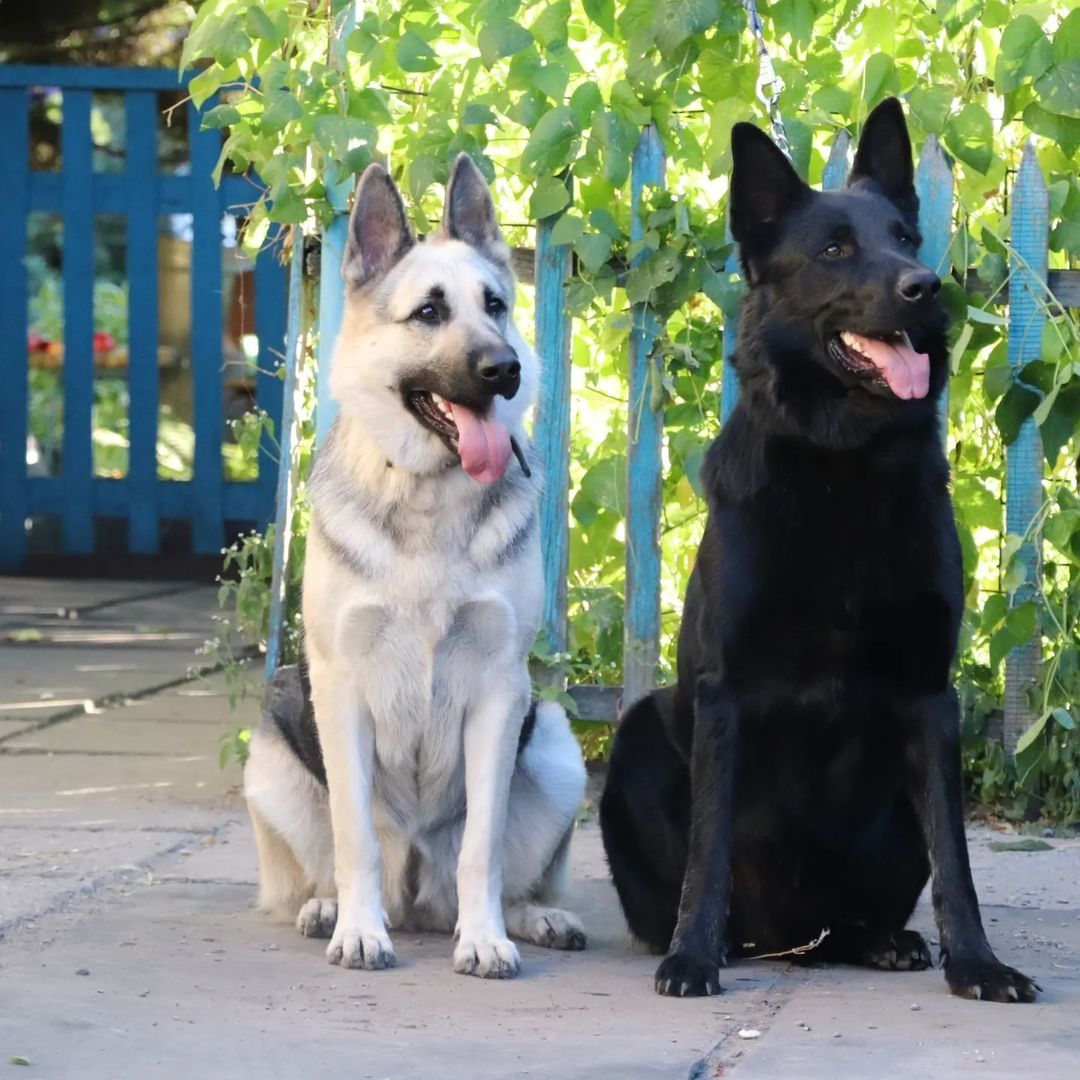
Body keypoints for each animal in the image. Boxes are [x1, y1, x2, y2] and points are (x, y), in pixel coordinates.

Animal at [604, 99, 1032, 1002]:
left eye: (904, 236)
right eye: (835, 249)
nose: (923, 287)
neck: (843, 465)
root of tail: (794, 942)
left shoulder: (930, 698)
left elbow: (958, 861)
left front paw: (977, 964)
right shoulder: (724, 694)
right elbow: (708, 853)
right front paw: (693, 955)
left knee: (865, 915)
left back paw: (883, 941)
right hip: (641, 735)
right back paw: (722, 942)